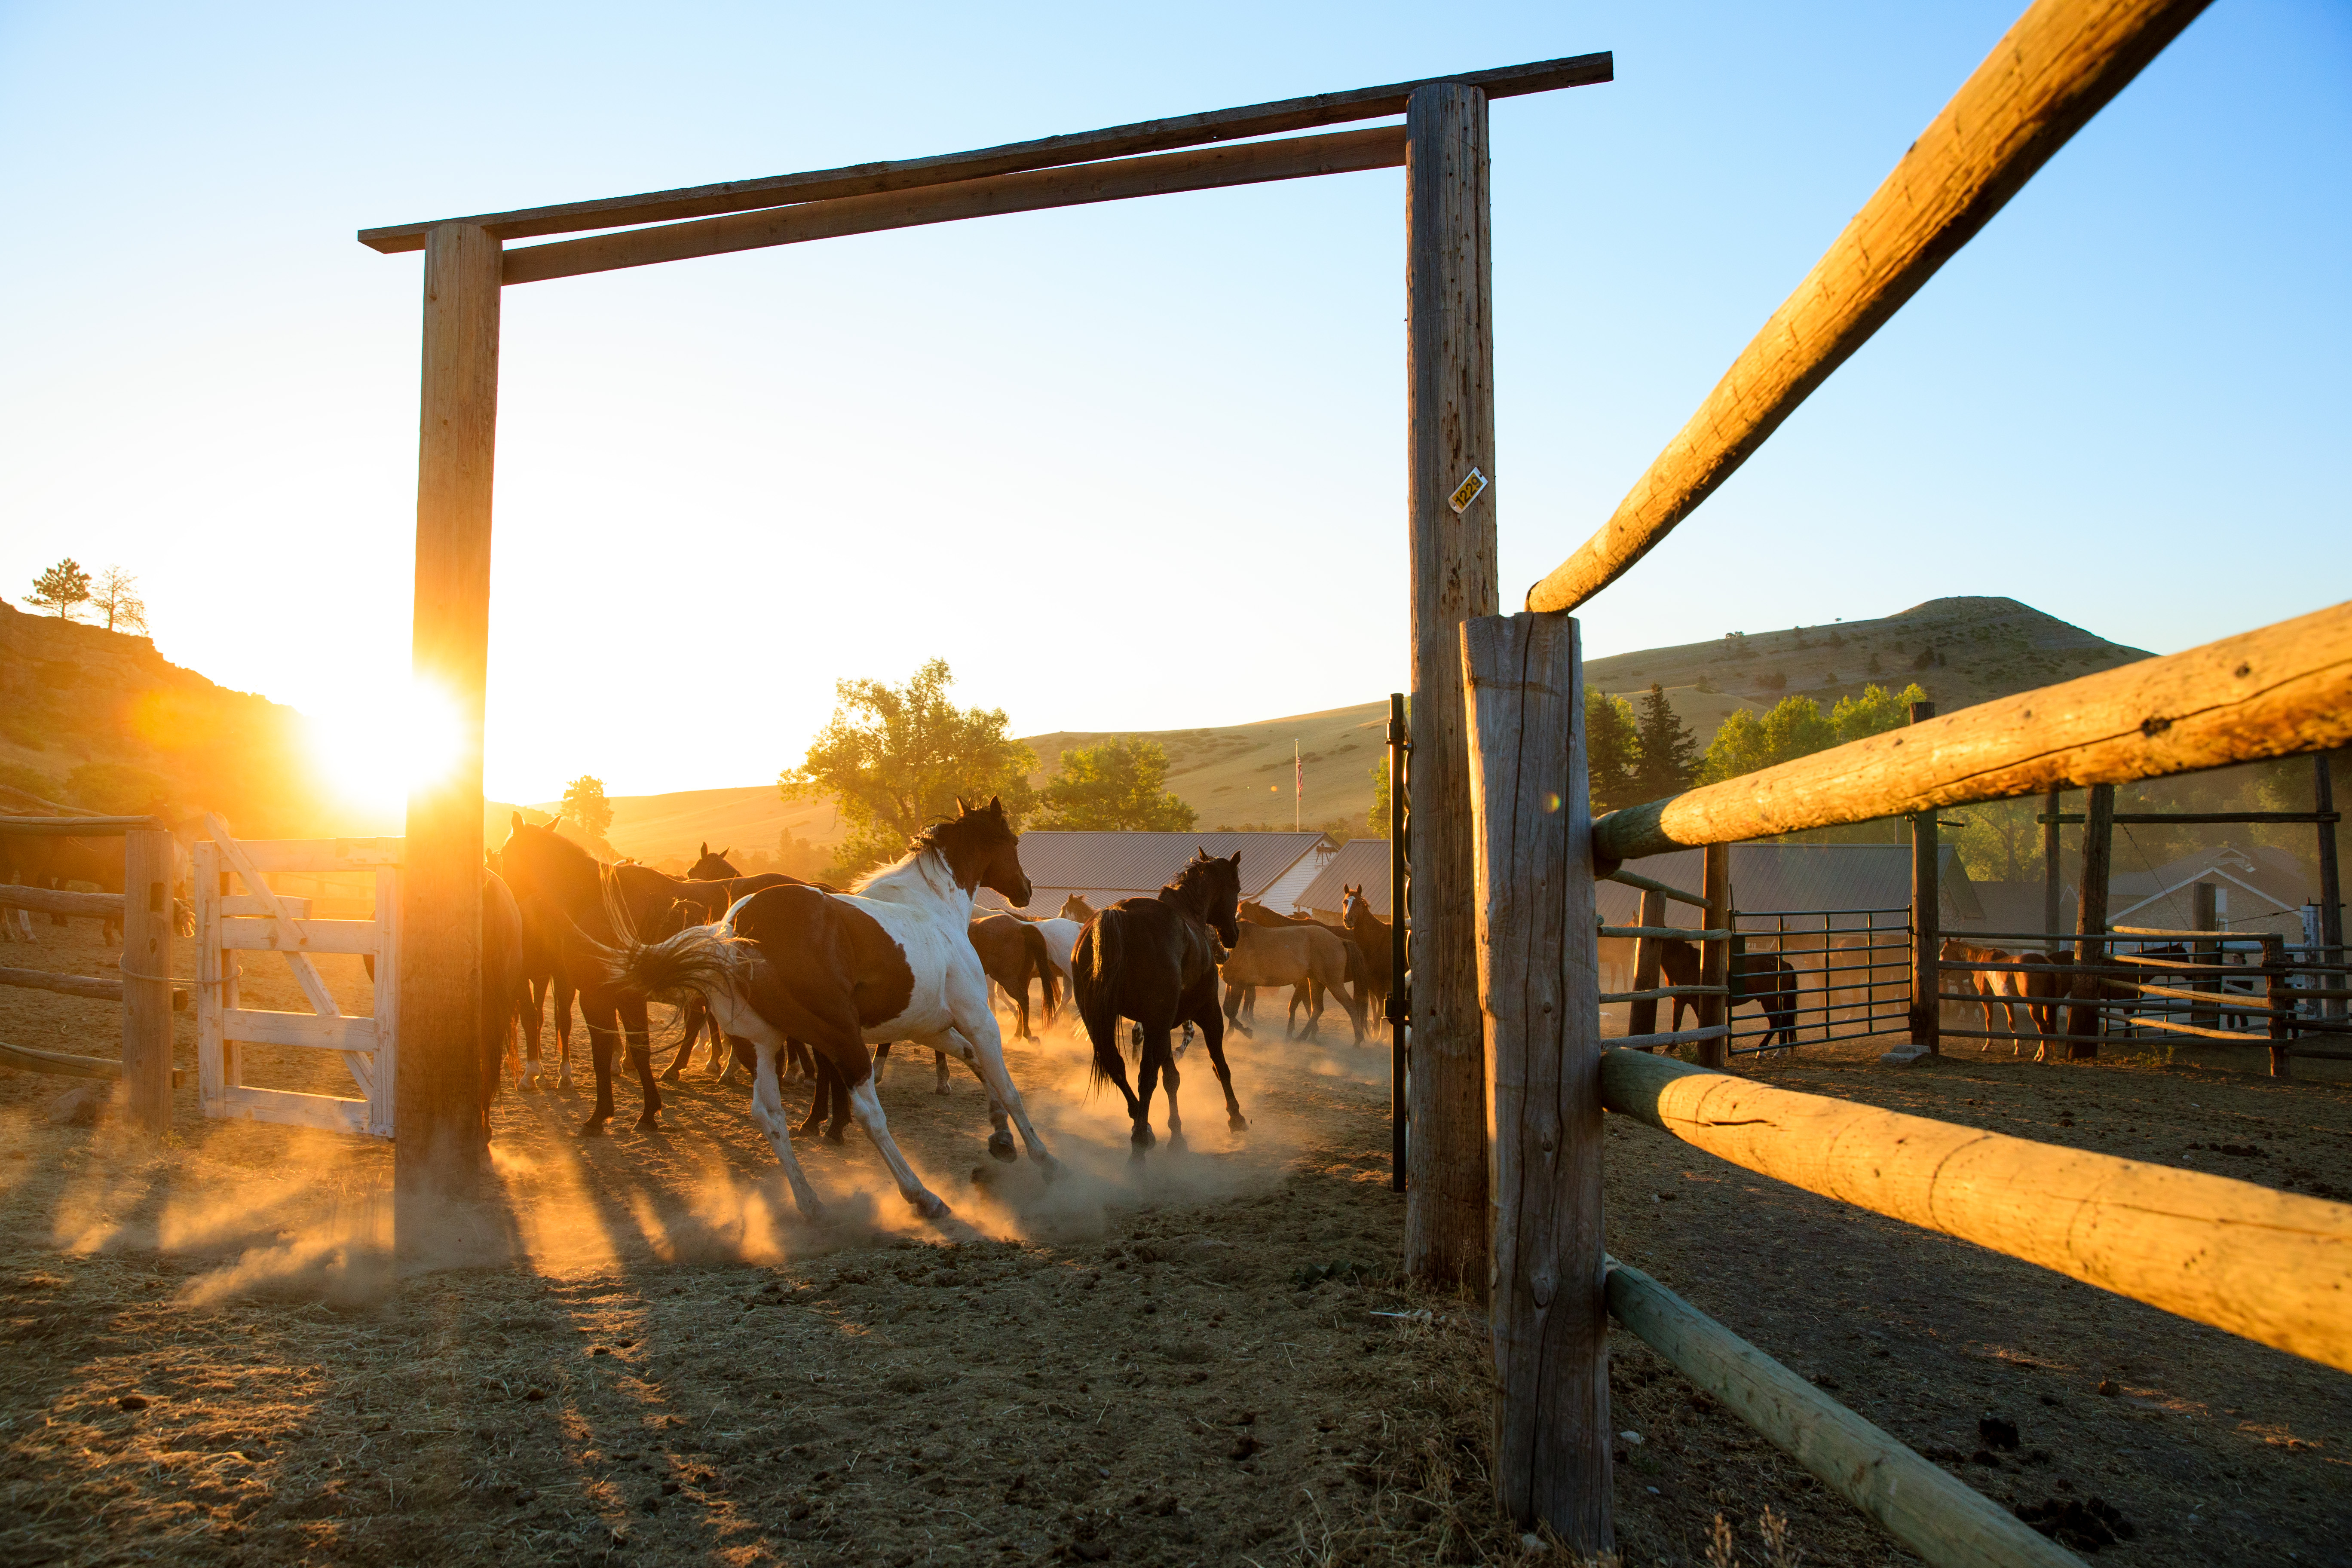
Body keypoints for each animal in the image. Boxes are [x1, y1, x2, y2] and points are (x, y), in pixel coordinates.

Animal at [1072, 851, 1251, 1161]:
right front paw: (1236, 1116)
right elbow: (1220, 1066)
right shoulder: (1207, 1013)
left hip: (1099, 1021)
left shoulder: (1163, 1025)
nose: (1233, 936)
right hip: (1154, 1023)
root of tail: (1118, 915)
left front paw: (1176, 1133)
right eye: (1237, 889)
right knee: (1145, 1077)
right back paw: (1140, 1139)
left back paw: (1141, 1123)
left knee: (1118, 1067)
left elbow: (1172, 1078)